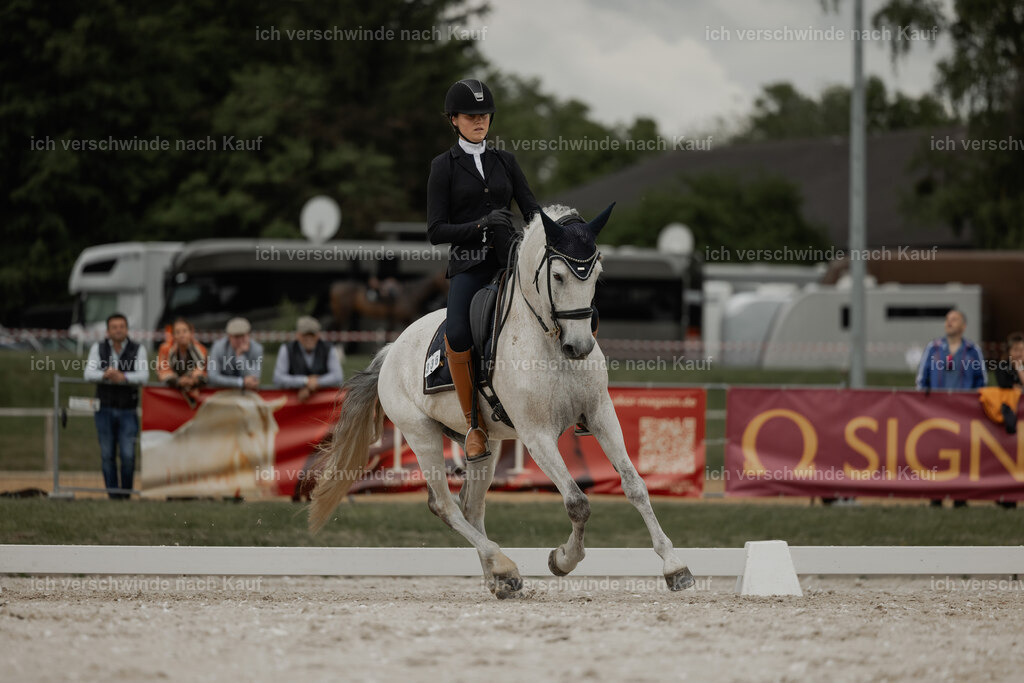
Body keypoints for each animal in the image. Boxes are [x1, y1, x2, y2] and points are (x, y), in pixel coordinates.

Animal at [308, 204, 695, 599]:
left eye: (597, 275)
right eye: (558, 276)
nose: (580, 347)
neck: (547, 341)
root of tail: (391, 351)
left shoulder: (601, 415)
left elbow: (635, 487)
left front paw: (675, 566)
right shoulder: (537, 434)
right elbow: (577, 502)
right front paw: (563, 559)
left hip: (484, 444)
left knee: (470, 505)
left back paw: (499, 576)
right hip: (421, 435)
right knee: (444, 505)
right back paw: (504, 564)